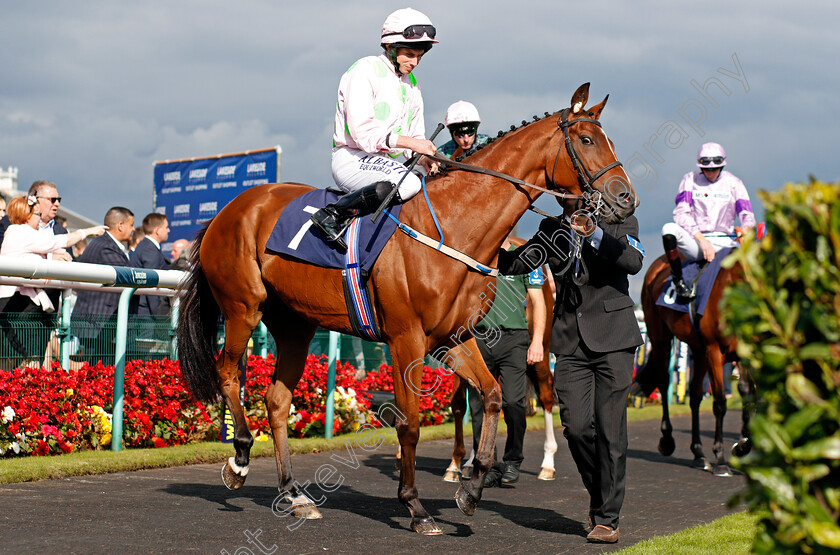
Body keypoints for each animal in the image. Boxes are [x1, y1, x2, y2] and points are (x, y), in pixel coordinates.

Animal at [179, 82, 636, 536]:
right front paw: (416, 507)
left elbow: (492, 396)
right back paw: (239, 458)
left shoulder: (454, 338)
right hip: (243, 306)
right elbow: (410, 424)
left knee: (276, 400)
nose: (626, 197)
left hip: (295, 324)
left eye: (610, 140)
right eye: (587, 139)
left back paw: (294, 494)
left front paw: (472, 490)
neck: (455, 225)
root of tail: (228, 210)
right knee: (227, 372)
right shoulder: (406, 338)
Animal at [632, 254, 756, 476]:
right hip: (661, 338)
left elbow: (749, 395)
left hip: (698, 352)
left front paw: (742, 447)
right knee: (664, 382)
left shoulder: (743, 351)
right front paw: (721, 459)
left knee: (696, 395)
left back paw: (699, 454)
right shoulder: (714, 351)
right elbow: (720, 403)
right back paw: (667, 440)